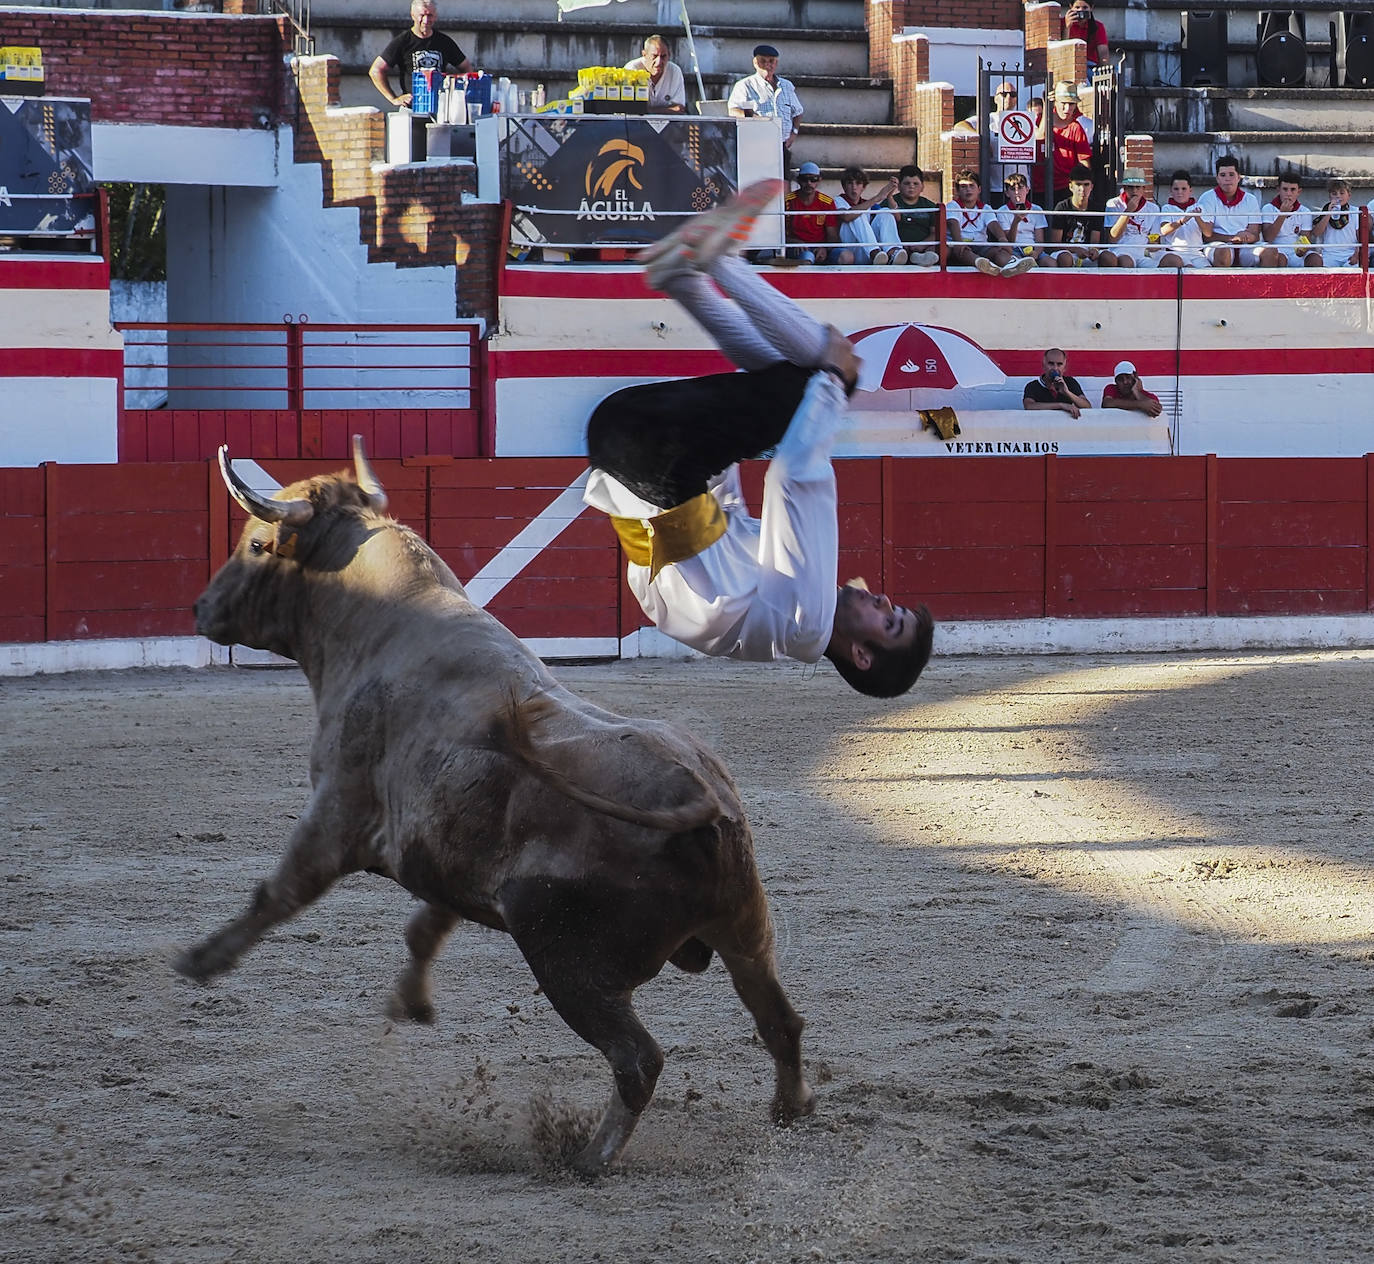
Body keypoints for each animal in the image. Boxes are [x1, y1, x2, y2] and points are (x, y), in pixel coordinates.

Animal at [175, 442, 807, 1176]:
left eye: (254, 543)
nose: (201, 607)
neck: (382, 623)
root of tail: (700, 799)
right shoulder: (442, 855)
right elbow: (425, 927)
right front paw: (411, 1002)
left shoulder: (335, 811)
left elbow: (278, 892)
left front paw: (202, 960)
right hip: (745, 930)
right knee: (778, 1020)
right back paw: (789, 1113)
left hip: (564, 959)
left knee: (638, 1059)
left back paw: (589, 1159)